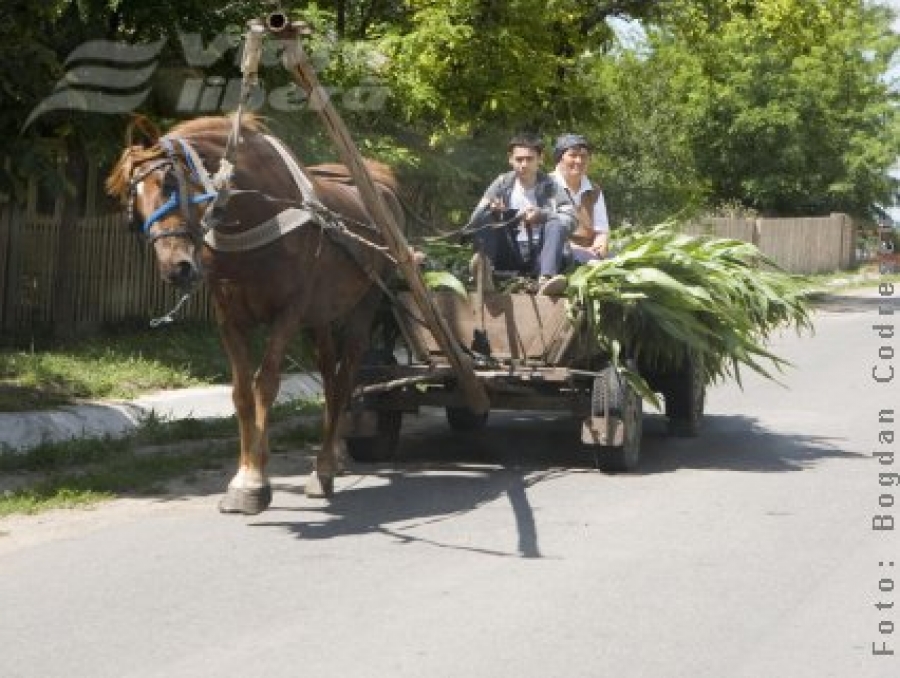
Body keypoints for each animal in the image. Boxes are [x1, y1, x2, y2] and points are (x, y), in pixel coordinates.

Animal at [103, 114, 402, 512]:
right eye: (132, 202)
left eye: (168, 183)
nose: (176, 268)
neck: (261, 217)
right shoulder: (230, 319)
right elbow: (242, 393)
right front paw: (245, 476)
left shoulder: (288, 314)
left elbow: (266, 384)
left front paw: (255, 482)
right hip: (320, 318)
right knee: (329, 375)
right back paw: (332, 459)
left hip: (363, 307)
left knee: (345, 379)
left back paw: (324, 467)